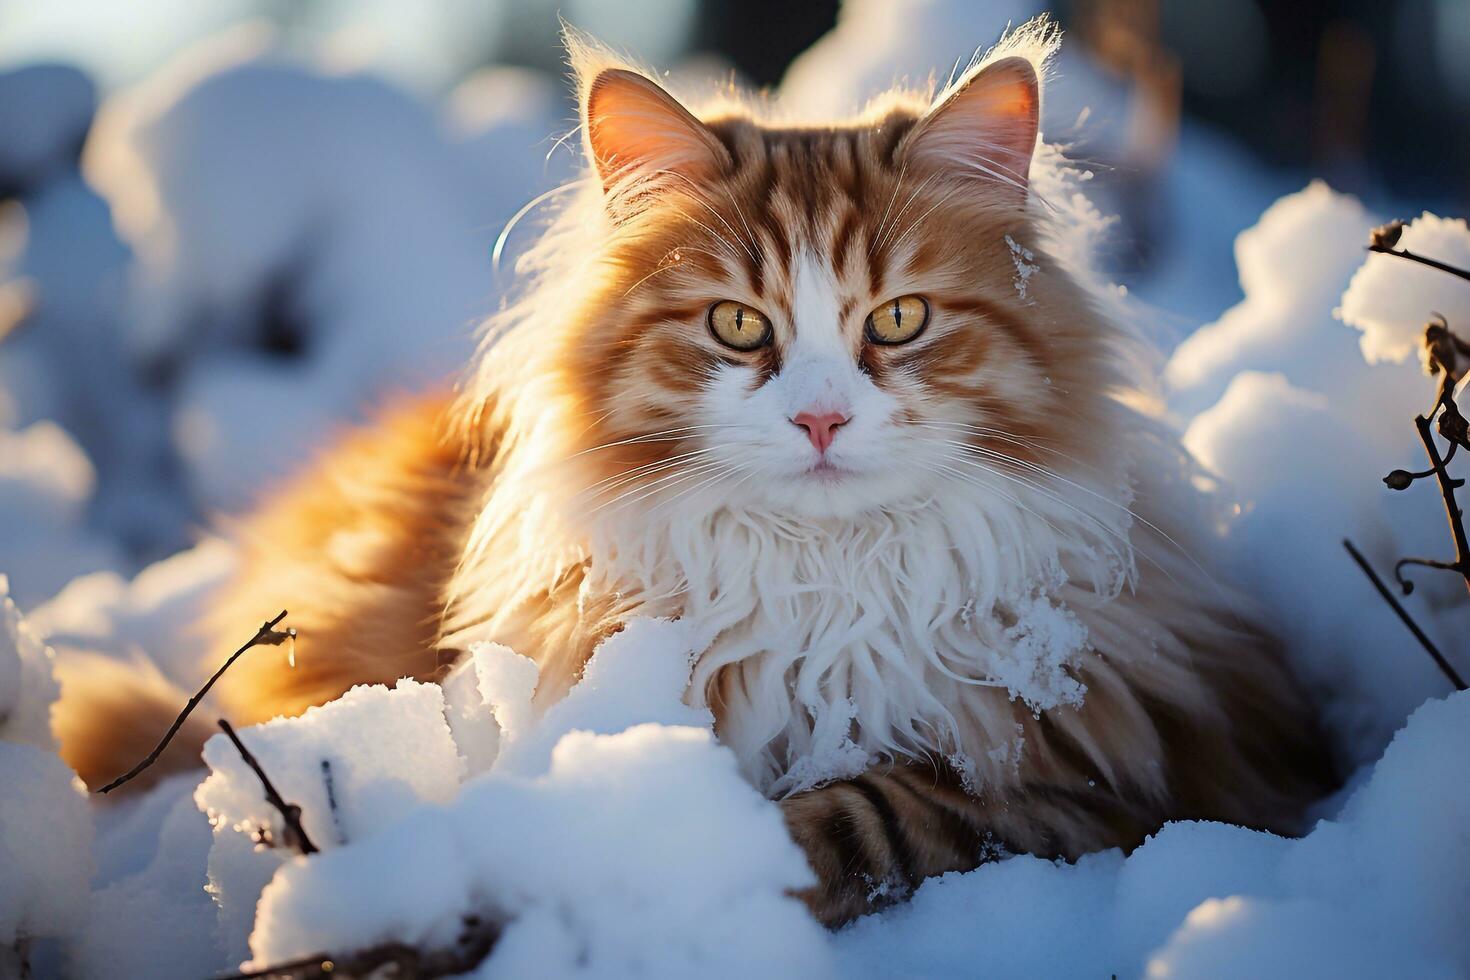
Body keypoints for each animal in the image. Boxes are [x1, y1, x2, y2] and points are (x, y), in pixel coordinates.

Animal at [57, 24, 1340, 928]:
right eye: (736, 324)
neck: (831, 591)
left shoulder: (1117, 776)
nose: (821, 416)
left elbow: (878, 810)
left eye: (900, 319)